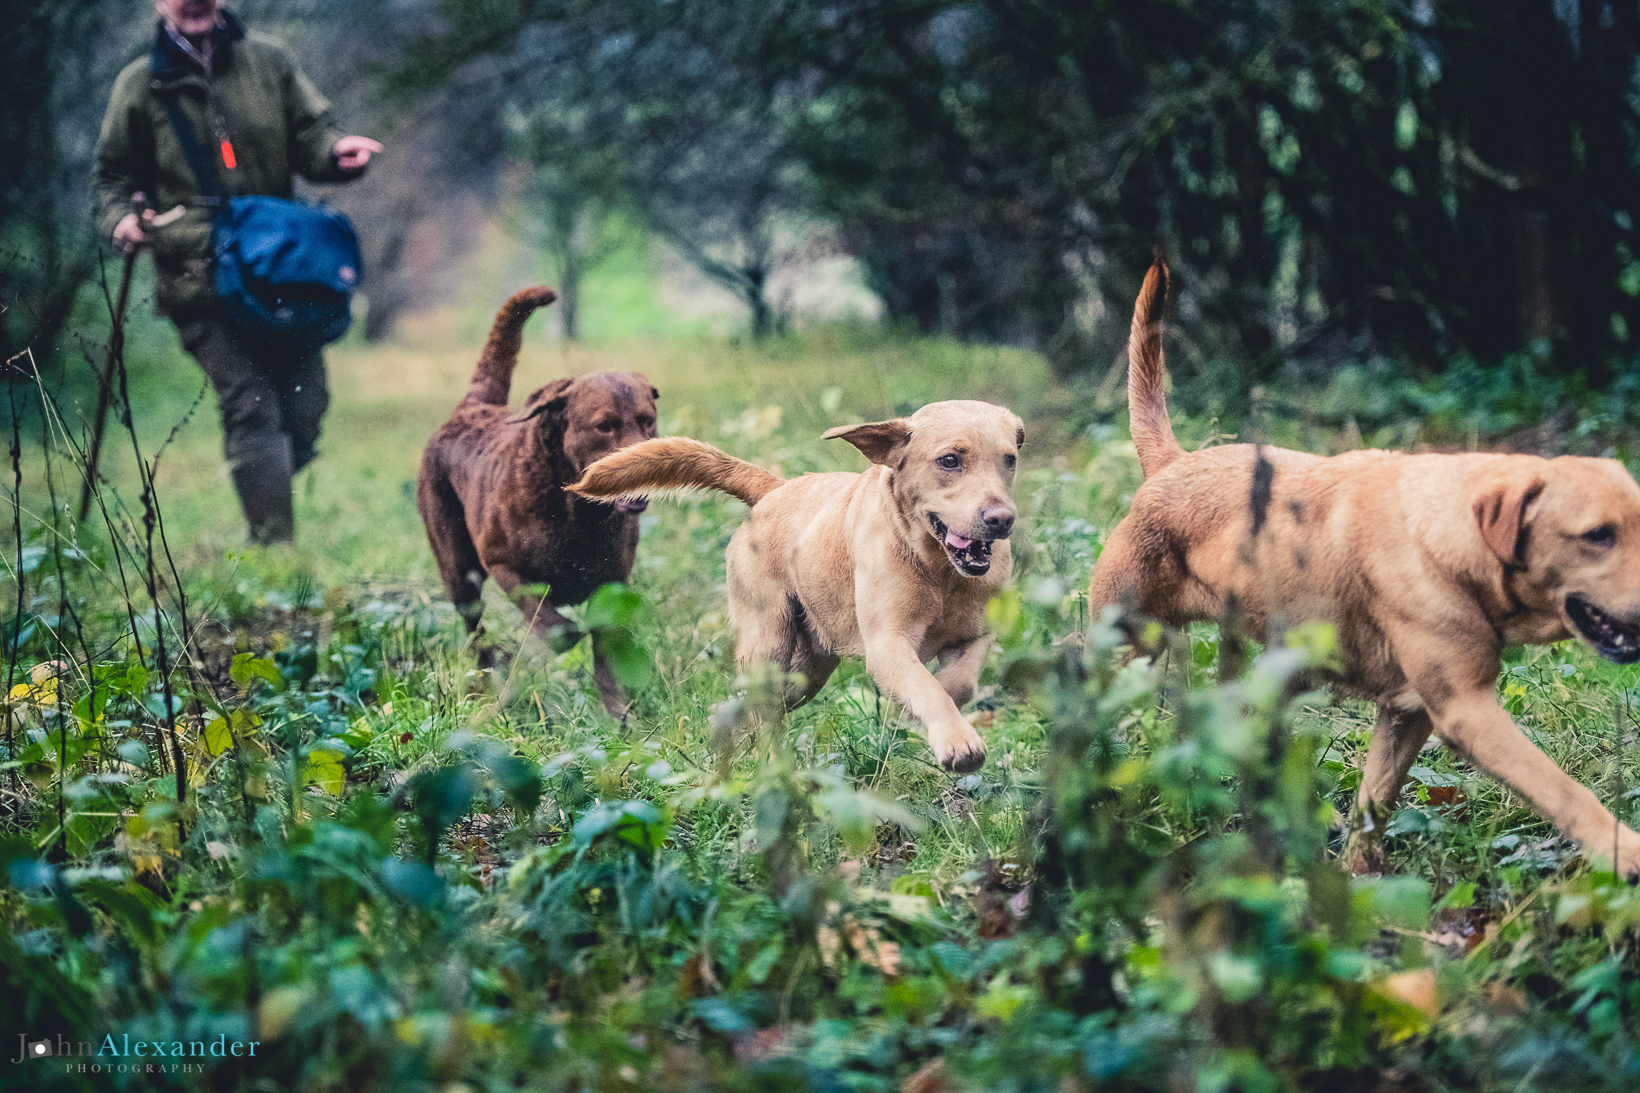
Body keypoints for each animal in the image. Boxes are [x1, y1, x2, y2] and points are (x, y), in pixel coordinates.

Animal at [417, 286, 658, 716]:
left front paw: (618, 718)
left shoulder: (613, 582)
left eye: (648, 421)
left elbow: (605, 655)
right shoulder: (503, 564)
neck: (577, 513)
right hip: (458, 569)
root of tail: (472, 408)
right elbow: (554, 623)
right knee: (474, 627)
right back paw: (488, 677)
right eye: (605, 426)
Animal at [569, 400, 1025, 771]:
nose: (1002, 518)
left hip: (807, 670)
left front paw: (928, 717)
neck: (939, 571)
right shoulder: (887, 644)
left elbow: (956, 685)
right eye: (949, 460)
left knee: (751, 709)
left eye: (1010, 459)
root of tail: (775, 489)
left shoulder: (977, 635)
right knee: (766, 715)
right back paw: (771, 767)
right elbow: (927, 688)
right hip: (768, 642)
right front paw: (955, 740)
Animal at [1090, 260, 1640, 877]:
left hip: (1284, 669)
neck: (1447, 536)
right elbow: (1564, 791)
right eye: (1598, 535)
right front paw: (1626, 853)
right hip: (1124, 645)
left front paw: (1361, 874)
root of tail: (1172, 464)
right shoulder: (1468, 712)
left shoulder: (1407, 712)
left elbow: (1374, 800)